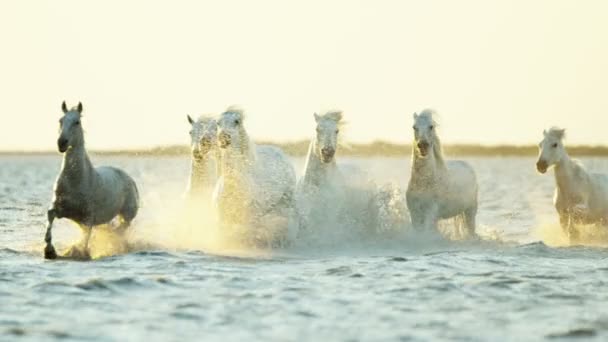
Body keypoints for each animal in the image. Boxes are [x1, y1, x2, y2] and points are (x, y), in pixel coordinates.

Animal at [44, 101, 140, 260]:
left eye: (77, 122)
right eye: (60, 120)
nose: (61, 143)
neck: (75, 180)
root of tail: (129, 179)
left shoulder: (87, 218)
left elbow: (85, 242)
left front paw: (77, 252)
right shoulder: (59, 209)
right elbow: (49, 217)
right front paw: (49, 250)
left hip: (127, 216)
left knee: (121, 230)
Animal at [214, 107, 296, 246]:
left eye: (237, 121)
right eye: (218, 123)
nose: (223, 138)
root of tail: (280, 151)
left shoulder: (249, 219)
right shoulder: (223, 218)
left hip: (287, 201)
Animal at [406, 110, 478, 238]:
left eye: (431, 126)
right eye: (414, 127)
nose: (422, 145)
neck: (424, 182)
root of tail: (466, 164)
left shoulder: (431, 213)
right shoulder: (414, 213)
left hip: (471, 209)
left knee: (471, 228)